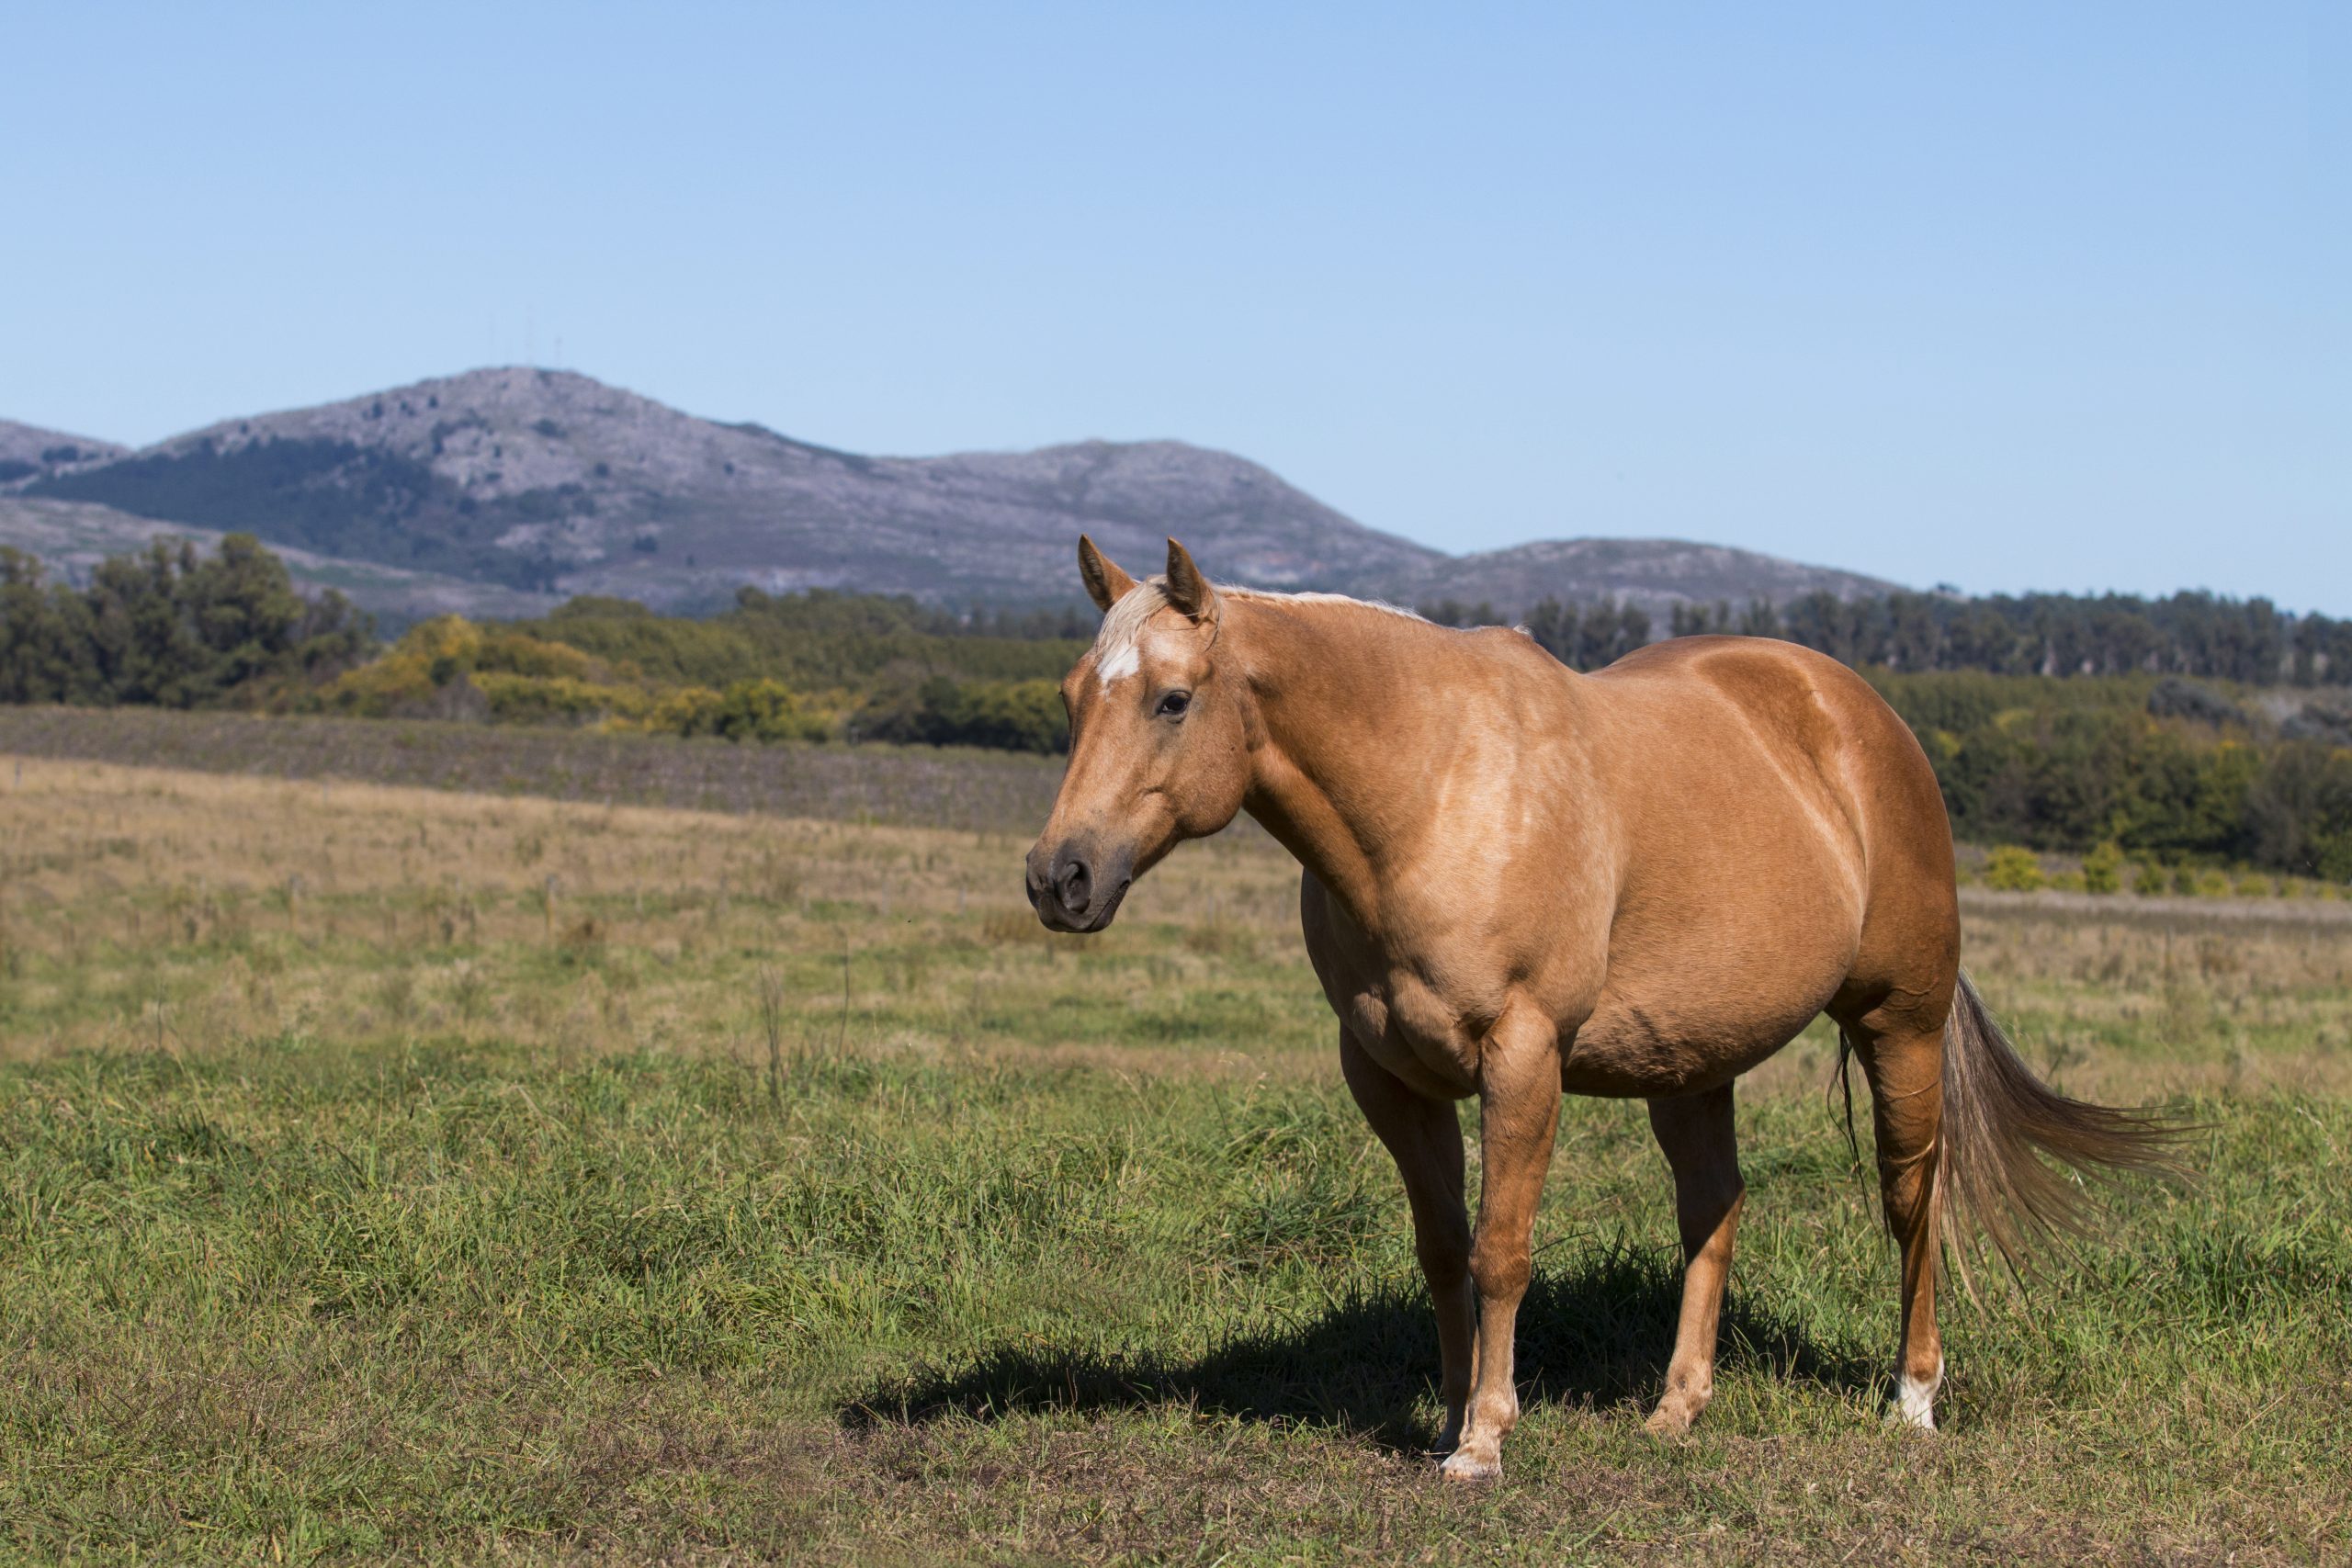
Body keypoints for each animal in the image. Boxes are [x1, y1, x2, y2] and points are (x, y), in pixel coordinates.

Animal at [1030, 540, 2164, 1485]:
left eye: (1173, 700)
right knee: (1715, 1206)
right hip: (1694, 1062)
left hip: (1901, 1025)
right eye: (1075, 696)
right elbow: (1441, 1247)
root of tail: (1860, 716)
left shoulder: (1523, 1055)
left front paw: (1484, 1440)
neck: (1434, 787)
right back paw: (1677, 1408)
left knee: (1910, 1197)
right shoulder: (1388, 1076)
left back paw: (1914, 1398)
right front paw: (1448, 1417)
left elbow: (1500, 1249)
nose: (1059, 878)